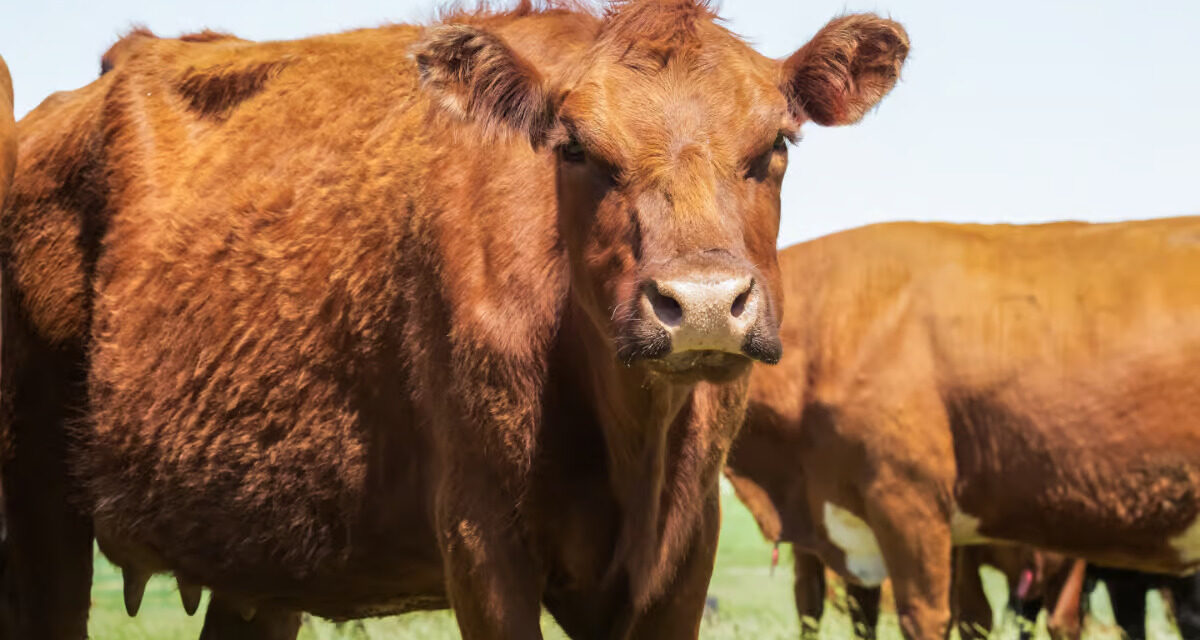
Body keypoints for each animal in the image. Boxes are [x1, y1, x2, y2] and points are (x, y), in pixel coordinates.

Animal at [0, 2, 909, 638]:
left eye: (777, 145)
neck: (630, 439)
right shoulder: (482, 543)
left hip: (255, 555)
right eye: (574, 147)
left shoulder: (683, 559)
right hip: (40, 505)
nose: (705, 304)